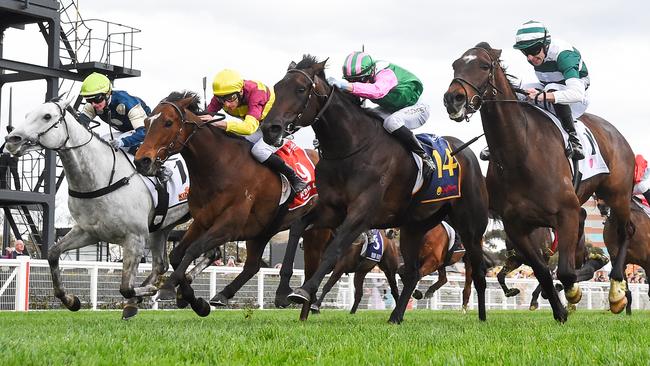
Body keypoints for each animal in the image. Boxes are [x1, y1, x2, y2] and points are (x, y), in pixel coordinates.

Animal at [4, 96, 190, 318]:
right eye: (27, 115)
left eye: (47, 116)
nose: (12, 139)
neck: (100, 178)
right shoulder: (89, 232)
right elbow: (53, 254)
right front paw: (71, 300)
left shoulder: (135, 237)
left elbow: (126, 287)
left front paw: (146, 291)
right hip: (161, 227)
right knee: (161, 264)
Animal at [134, 91, 330, 314]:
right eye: (147, 122)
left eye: (168, 122)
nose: (142, 161)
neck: (218, 166)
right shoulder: (202, 222)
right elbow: (177, 254)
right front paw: (192, 300)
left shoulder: (229, 226)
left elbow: (193, 249)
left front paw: (168, 288)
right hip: (263, 230)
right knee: (253, 266)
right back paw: (224, 294)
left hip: (316, 229)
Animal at [258, 54, 486, 324]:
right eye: (277, 87)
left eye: (301, 89)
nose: (269, 129)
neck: (350, 148)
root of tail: (466, 151)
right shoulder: (331, 210)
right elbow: (296, 229)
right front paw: (283, 290)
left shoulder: (361, 213)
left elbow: (334, 250)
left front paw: (305, 291)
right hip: (414, 227)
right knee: (411, 272)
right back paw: (396, 316)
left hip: (470, 226)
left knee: (478, 270)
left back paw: (482, 318)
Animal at [440, 43, 632, 322]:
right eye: (455, 65)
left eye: (484, 66)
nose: (453, 98)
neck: (520, 152)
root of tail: (614, 131)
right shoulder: (515, 226)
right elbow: (543, 271)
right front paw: (560, 310)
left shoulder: (565, 213)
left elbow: (564, 272)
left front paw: (573, 293)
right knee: (584, 225)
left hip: (617, 194)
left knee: (624, 231)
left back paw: (616, 291)